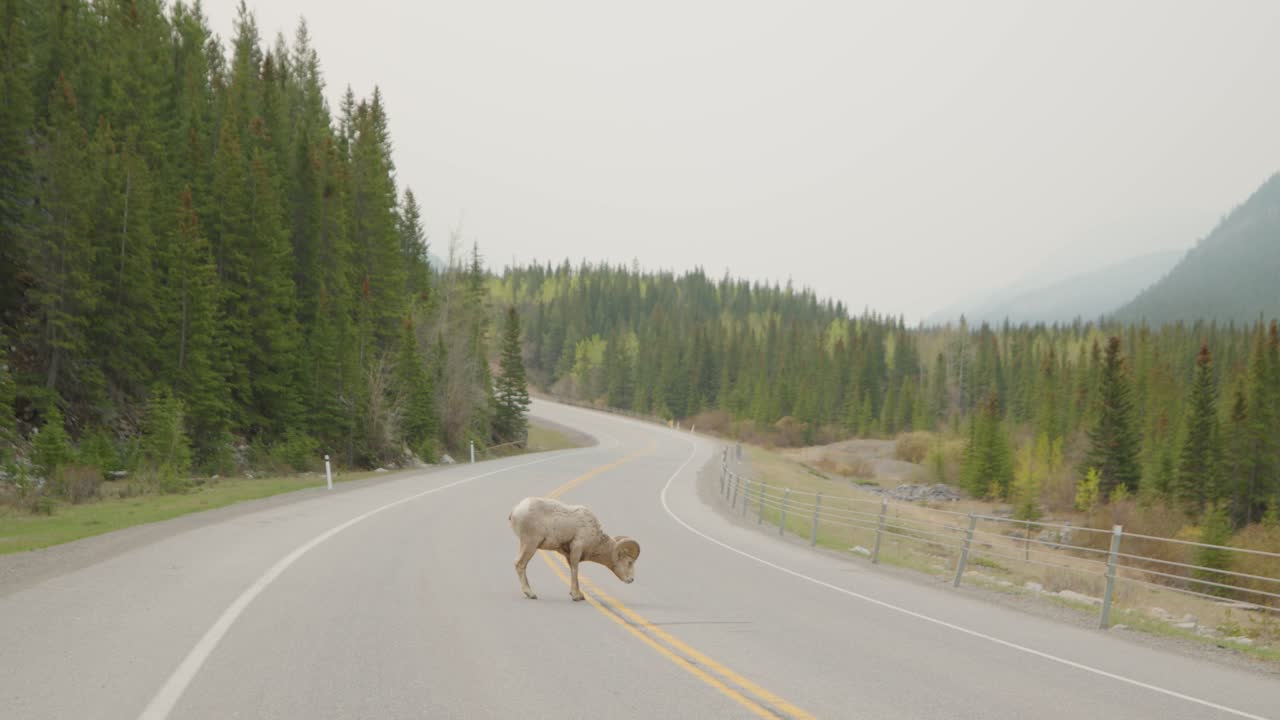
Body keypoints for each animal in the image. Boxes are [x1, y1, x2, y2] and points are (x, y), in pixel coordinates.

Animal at [508, 496, 641, 601]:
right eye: (629, 562)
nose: (631, 580)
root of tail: (516, 510)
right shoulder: (577, 549)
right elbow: (575, 570)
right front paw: (577, 596)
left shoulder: (568, 554)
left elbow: (572, 569)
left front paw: (578, 594)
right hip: (530, 544)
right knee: (520, 563)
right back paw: (531, 594)